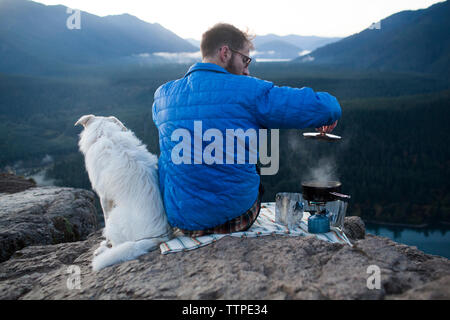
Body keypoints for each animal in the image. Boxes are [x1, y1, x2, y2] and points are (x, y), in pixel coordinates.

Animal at [74, 114, 171, 270]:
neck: (104, 134)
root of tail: (160, 238)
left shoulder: (104, 197)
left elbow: (105, 219)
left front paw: (105, 242)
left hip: (115, 219)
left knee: (117, 243)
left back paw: (103, 250)